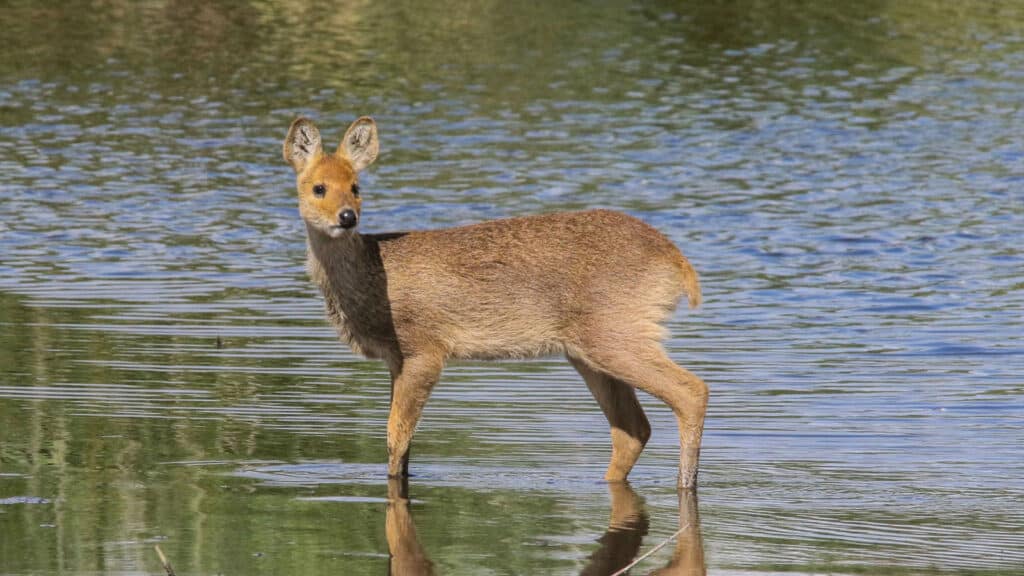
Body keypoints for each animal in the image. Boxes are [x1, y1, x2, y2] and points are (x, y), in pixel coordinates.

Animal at [284, 114, 708, 485]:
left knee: (691, 392)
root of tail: (679, 265)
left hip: (616, 333)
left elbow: (396, 436)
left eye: (356, 186)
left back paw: (685, 483)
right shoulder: (396, 358)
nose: (347, 217)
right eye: (318, 187)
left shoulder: (426, 348)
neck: (371, 277)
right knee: (632, 429)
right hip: (589, 351)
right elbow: (403, 444)